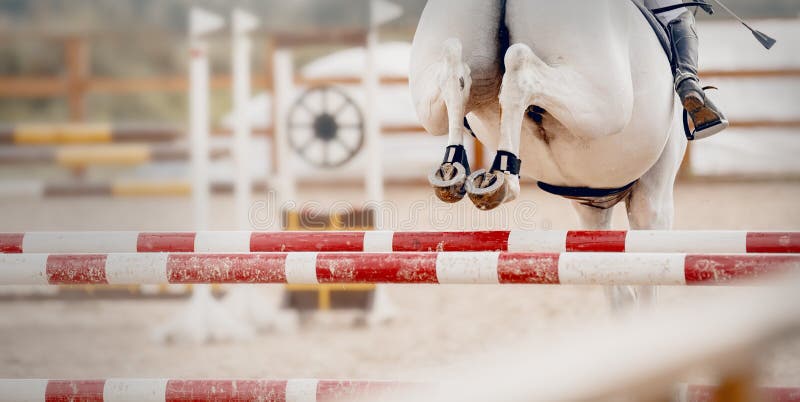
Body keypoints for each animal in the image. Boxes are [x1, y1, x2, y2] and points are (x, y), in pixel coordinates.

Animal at [412, 0, 688, 304]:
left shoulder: (590, 204)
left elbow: (619, 293)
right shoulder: (652, 198)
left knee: (453, 64)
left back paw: (453, 169)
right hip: (602, 101)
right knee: (520, 67)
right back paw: (503, 175)